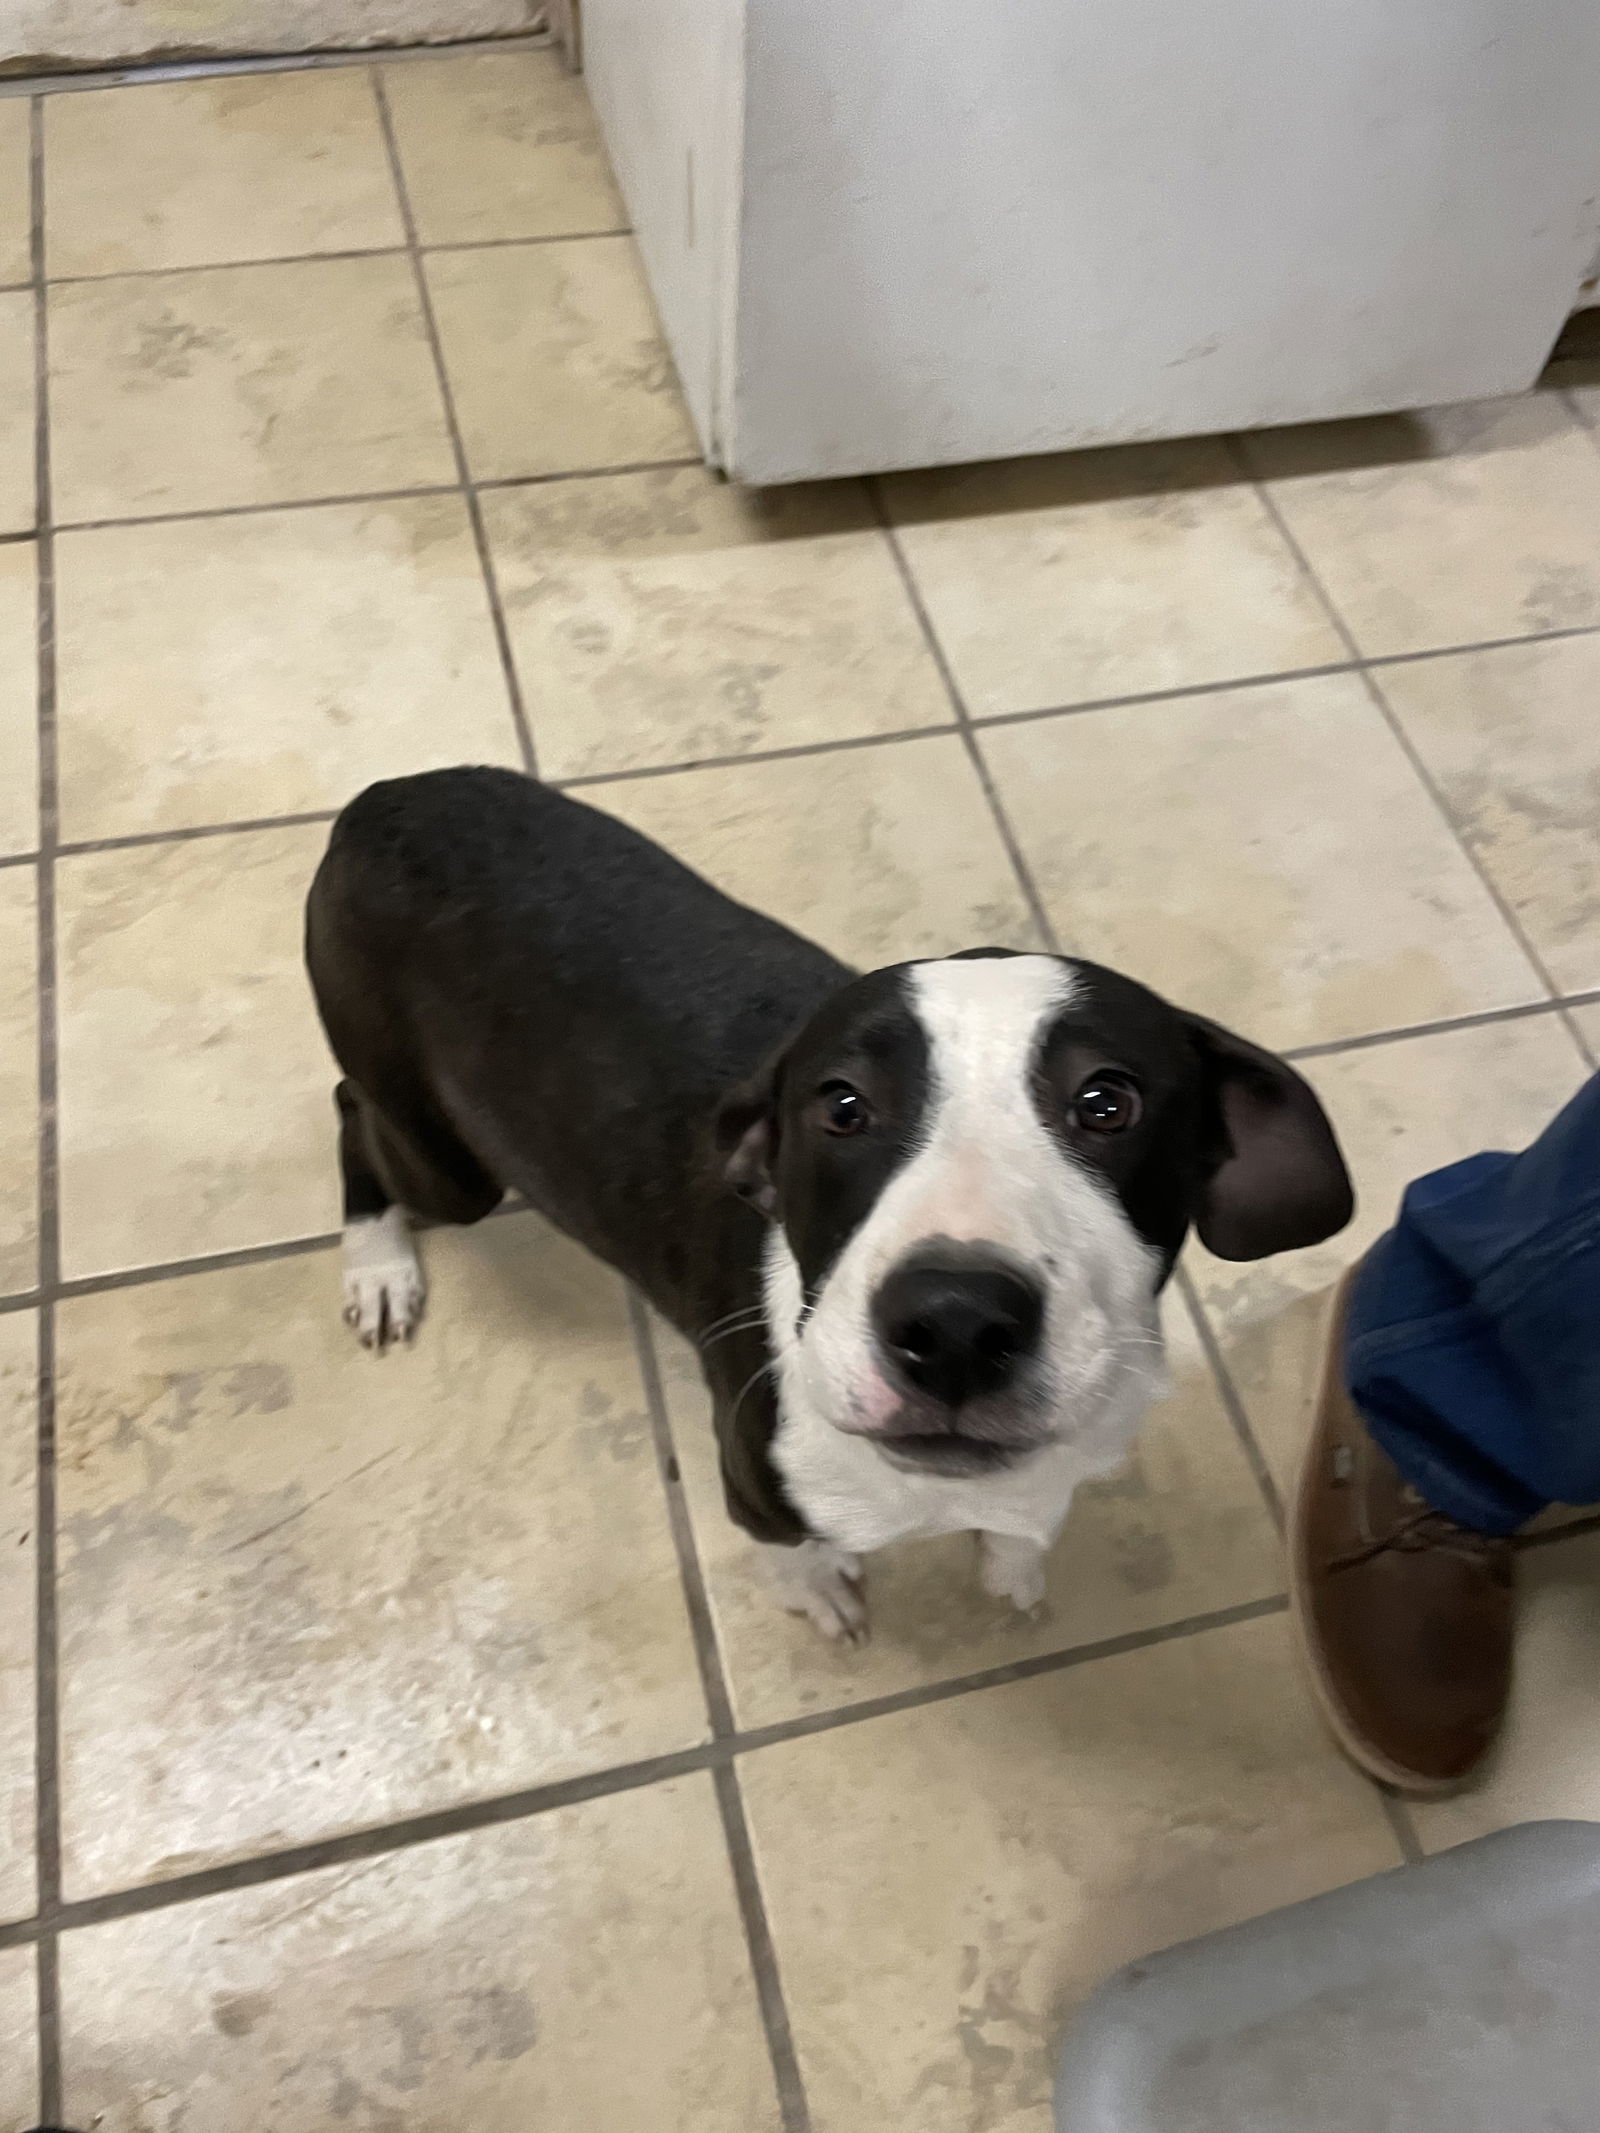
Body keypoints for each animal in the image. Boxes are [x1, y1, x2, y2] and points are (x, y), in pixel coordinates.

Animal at [302, 767, 1356, 1629]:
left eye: (1108, 1101)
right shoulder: (757, 1483)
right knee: (353, 1106)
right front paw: (818, 1589)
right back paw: (379, 1265)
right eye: (842, 1104)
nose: (955, 1324)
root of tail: (378, 800)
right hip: (449, 1159)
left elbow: (1027, 1521)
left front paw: (1012, 1562)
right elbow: (795, 1552)